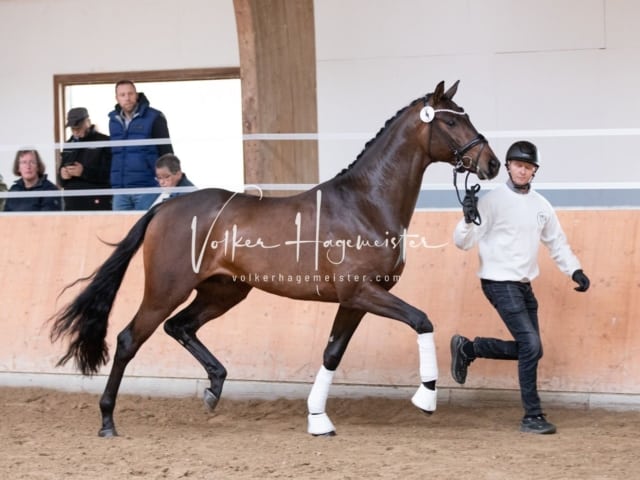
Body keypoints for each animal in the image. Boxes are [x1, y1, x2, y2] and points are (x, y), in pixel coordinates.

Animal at [50, 80, 500, 436]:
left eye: (465, 116)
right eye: (451, 122)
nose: (492, 163)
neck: (366, 204)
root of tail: (165, 207)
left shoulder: (356, 300)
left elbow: (332, 354)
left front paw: (318, 420)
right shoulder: (362, 292)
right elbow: (422, 320)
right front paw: (426, 398)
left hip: (224, 292)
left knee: (180, 327)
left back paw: (214, 387)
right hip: (166, 289)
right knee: (129, 339)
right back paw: (108, 421)